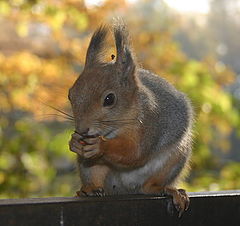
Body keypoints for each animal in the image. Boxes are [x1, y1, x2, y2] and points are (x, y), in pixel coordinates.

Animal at [68, 21, 194, 217]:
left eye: (109, 99)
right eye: (70, 95)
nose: (82, 130)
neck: (116, 129)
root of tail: (124, 188)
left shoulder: (151, 123)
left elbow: (135, 152)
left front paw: (101, 146)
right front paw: (74, 142)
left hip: (174, 159)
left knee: (149, 187)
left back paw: (168, 190)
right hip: (89, 168)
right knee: (94, 174)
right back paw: (90, 189)